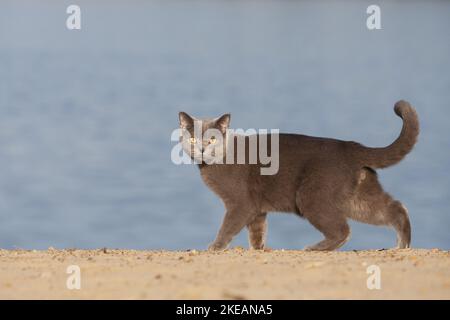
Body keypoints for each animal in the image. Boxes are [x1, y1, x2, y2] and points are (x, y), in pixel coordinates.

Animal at [178, 101, 418, 251]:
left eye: (212, 139)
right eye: (192, 139)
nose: (201, 148)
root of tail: (351, 147)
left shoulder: (240, 203)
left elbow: (228, 226)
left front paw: (215, 246)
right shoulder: (256, 208)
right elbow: (257, 231)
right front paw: (258, 249)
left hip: (311, 197)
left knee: (342, 229)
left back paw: (314, 248)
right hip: (358, 197)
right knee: (395, 208)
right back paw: (402, 245)